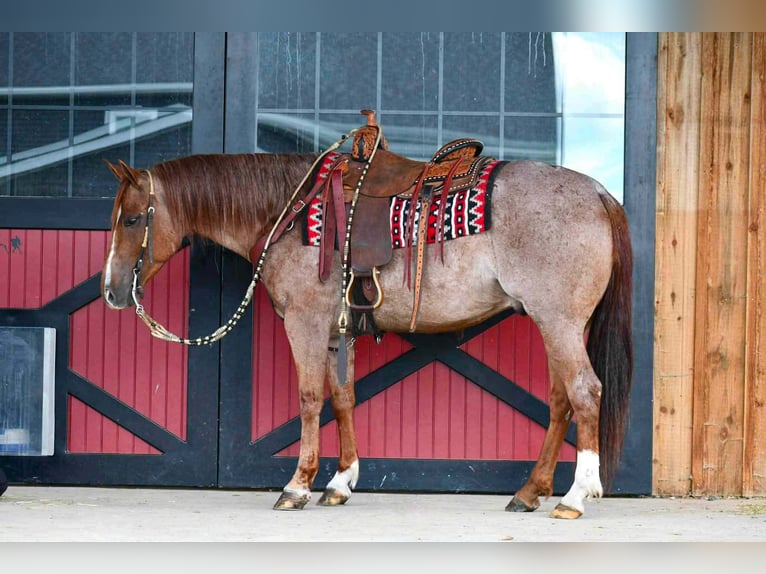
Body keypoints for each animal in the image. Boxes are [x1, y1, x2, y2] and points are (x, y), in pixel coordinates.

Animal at [100, 115, 632, 520]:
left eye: (132, 219)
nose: (110, 291)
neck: (289, 211)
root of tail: (598, 192)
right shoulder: (339, 330)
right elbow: (343, 397)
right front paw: (340, 482)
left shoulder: (305, 322)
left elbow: (310, 398)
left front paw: (297, 486)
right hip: (555, 324)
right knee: (561, 400)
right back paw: (529, 492)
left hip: (559, 322)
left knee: (585, 392)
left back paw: (574, 496)